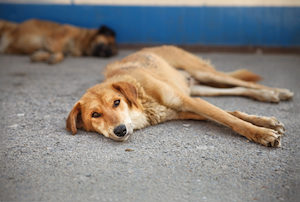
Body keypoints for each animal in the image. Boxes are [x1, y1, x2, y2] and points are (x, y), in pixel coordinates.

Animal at [65, 45, 292, 147]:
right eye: (95, 115)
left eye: (116, 102)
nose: (120, 131)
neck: (143, 99)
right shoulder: (187, 109)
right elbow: (231, 113)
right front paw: (267, 123)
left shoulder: (188, 101)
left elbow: (230, 119)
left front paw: (262, 133)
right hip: (199, 88)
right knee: (237, 89)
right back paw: (266, 95)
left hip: (204, 74)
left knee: (244, 83)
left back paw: (276, 91)